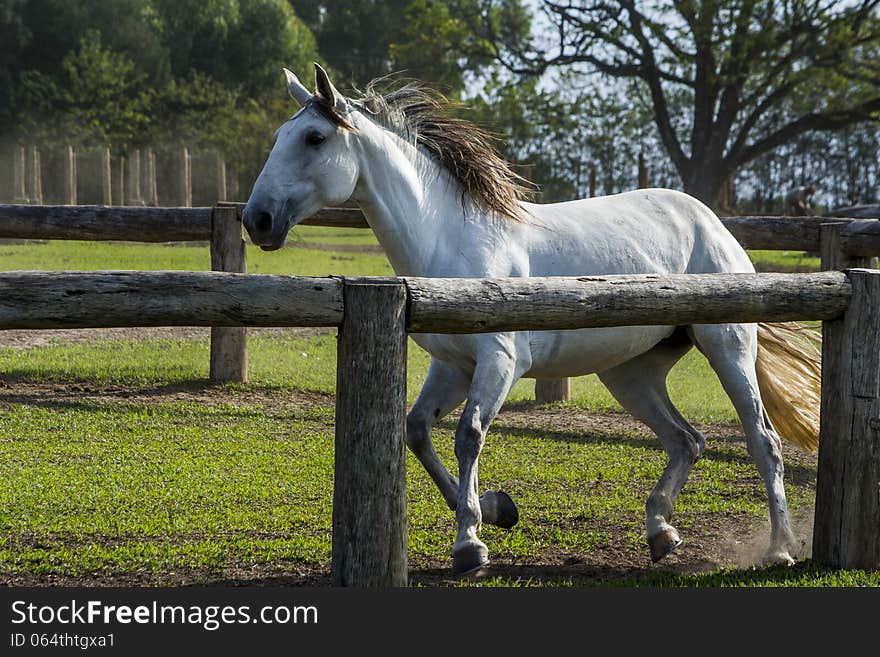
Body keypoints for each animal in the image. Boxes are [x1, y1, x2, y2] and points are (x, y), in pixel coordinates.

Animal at [242, 64, 820, 572]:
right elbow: (417, 430)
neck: (452, 240)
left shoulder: (500, 362)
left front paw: (470, 544)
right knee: (687, 440)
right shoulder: (452, 367)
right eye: (279, 135)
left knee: (764, 442)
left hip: (727, 347)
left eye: (314, 137)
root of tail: (711, 221)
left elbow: (469, 434)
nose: (257, 220)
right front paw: (497, 511)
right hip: (630, 371)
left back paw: (779, 549)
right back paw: (661, 533)